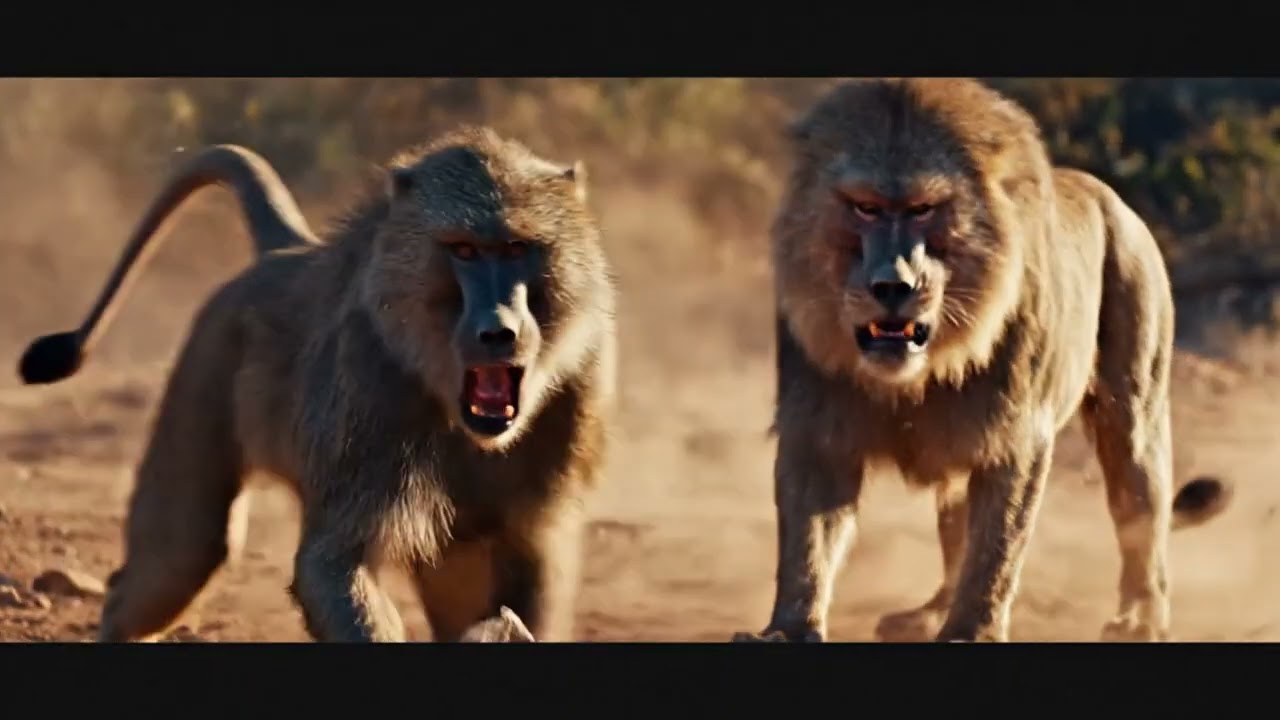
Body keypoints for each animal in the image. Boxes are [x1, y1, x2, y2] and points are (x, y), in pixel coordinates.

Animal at [731, 78, 1233, 643]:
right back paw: (926, 615)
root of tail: (1106, 193)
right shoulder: (818, 429)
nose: (893, 286)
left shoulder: (1014, 437)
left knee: (1141, 516)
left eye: (924, 208)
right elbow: (806, 544)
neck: (921, 370)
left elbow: (997, 546)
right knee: (955, 535)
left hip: (1133, 409)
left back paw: (1140, 619)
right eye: (864, 207)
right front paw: (788, 629)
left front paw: (973, 632)